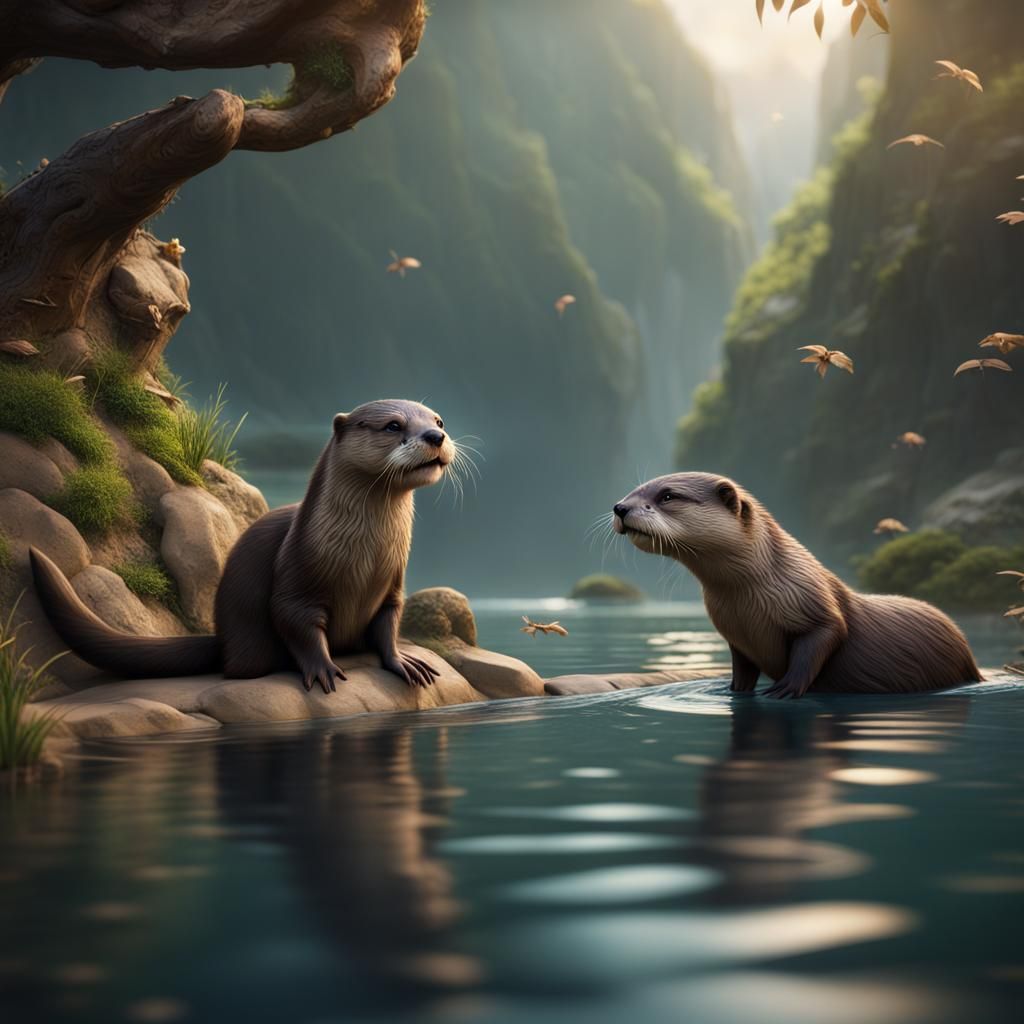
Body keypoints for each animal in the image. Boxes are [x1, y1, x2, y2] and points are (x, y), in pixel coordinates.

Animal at [31, 399, 459, 693]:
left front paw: (404, 662)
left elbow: (388, 624)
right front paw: (322, 669)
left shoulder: (391, 584)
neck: (364, 560)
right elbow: (294, 620)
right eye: (393, 425)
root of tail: (224, 639)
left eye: (438, 420)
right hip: (247, 640)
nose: (435, 436)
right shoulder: (296, 577)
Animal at [611, 472, 981, 698]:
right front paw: (734, 691)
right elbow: (742, 669)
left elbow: (825, 636)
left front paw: (786, 688)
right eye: (636, 490)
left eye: (667, 496)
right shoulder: (737, 637)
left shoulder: (813, 605)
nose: (620, 506)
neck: (749, 600)